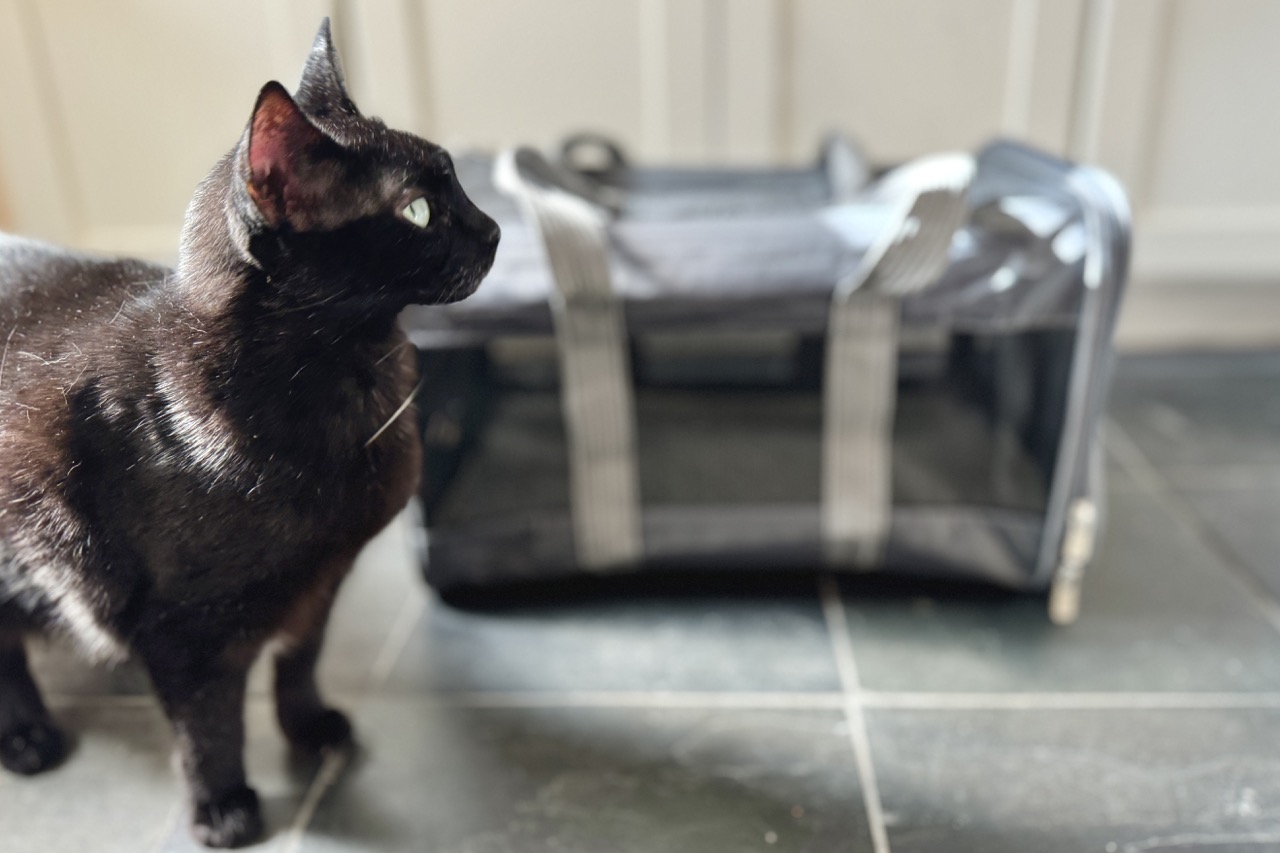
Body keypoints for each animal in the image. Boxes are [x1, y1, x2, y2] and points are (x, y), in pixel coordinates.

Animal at [0, 19, 496, 845]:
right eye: (420, 212)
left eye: (458, 182)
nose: (492, 229)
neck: (348, 378)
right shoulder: (183, 631)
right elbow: (209, 725)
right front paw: (223, 806)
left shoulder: (324, 577)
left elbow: (300, 659)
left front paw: (310, 727)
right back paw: (27, 735)